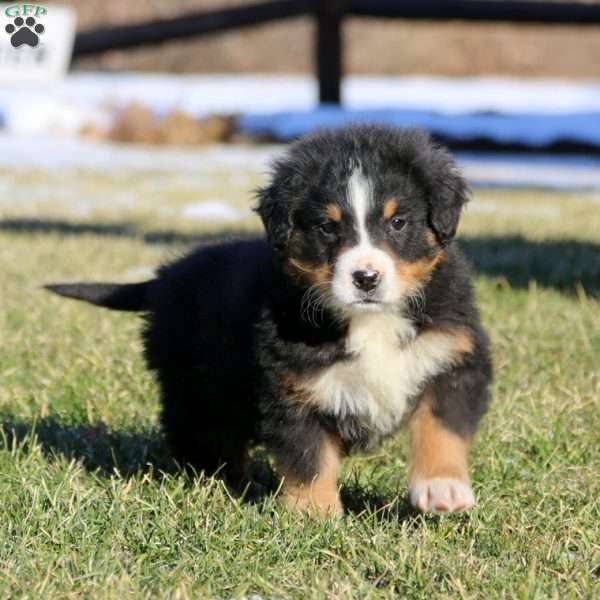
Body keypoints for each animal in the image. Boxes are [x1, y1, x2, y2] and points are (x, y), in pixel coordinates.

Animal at [48, 125, 492, 516]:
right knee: (203, 440)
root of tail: (164, 278)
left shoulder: (453, 358)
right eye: (326, 227)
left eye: (398, 222)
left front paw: (441, 488)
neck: (369, 321)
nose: (366, 278)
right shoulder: (289, 386)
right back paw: (233, 484)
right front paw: (315, 517)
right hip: (197, 392)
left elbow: (442, 428)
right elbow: (307, 454)